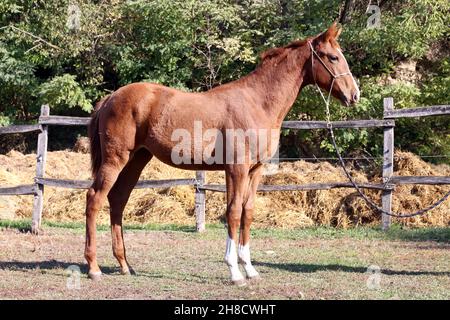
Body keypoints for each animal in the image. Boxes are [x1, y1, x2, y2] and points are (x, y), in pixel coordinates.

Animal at [83, 24, 358, 284]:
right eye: (333, 57)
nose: (354, 94)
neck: (257, 103)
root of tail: (110, 98)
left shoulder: (254, 170)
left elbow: (248, 212)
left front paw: (250, 269)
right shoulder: (236, 169)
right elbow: (233, 213)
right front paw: (235, 272)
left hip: (137, 160)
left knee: (118, 200)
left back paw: (124, 265)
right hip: (116, 159)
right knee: (95, 198)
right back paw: (94, 267)